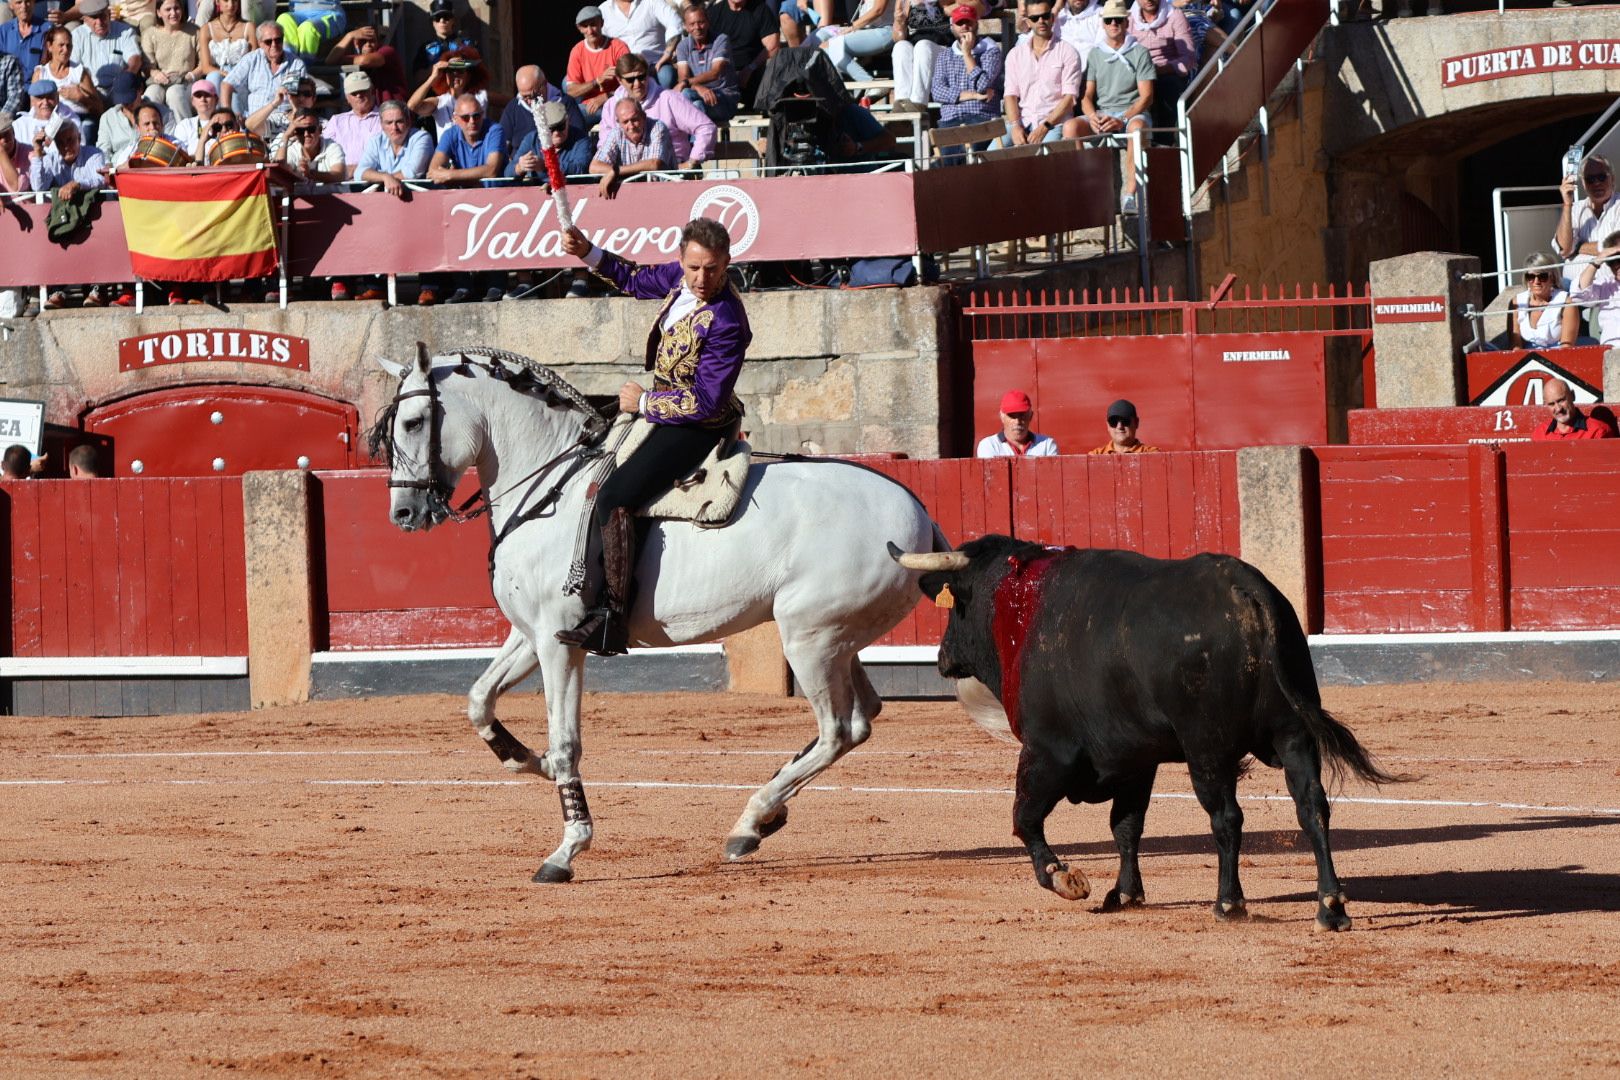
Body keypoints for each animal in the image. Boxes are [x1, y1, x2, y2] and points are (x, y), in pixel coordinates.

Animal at [374, 351, 946, 880]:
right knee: (862, 718)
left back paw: (749, 822)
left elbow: (566, 742)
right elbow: (479, 701)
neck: (552, 485)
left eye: (414, 422)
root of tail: (920, 511)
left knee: (837, 730)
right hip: (839, 639)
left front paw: (567, 849)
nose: (402, 513)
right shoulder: (533, 632)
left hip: (809, 638)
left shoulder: (560, 641)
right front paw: (526, 760)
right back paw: (763, 819)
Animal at [894, 537, 1399, 932]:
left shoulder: (1047, 751)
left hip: (1207, 747)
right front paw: (1125, 894)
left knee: (1227, 817)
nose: (942, 657)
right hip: (1295, 735)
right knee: (1312, 806)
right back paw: (1330, 907)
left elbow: (1025, 817)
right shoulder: (1135, 760)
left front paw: (1065, 878)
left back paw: (1228, 903)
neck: (1017, 606)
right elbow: (1126, 826)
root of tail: (1248, 591)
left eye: (958, 606)